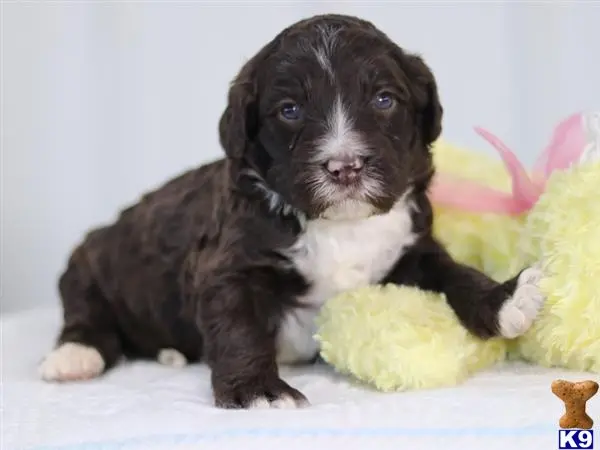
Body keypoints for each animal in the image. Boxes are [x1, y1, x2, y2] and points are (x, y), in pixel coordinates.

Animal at [37, 14, 544, 410]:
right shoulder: (227, 267)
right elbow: (239, 327)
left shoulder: (411, 249)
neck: (341, 224)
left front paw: (505, 300)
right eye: (289, 110)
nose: (345, 166)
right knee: (85, 315)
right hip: (86, 264)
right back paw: (75, 357)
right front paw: (257, 391)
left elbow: (453, 273)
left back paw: (169, 352)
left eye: (384, 100)